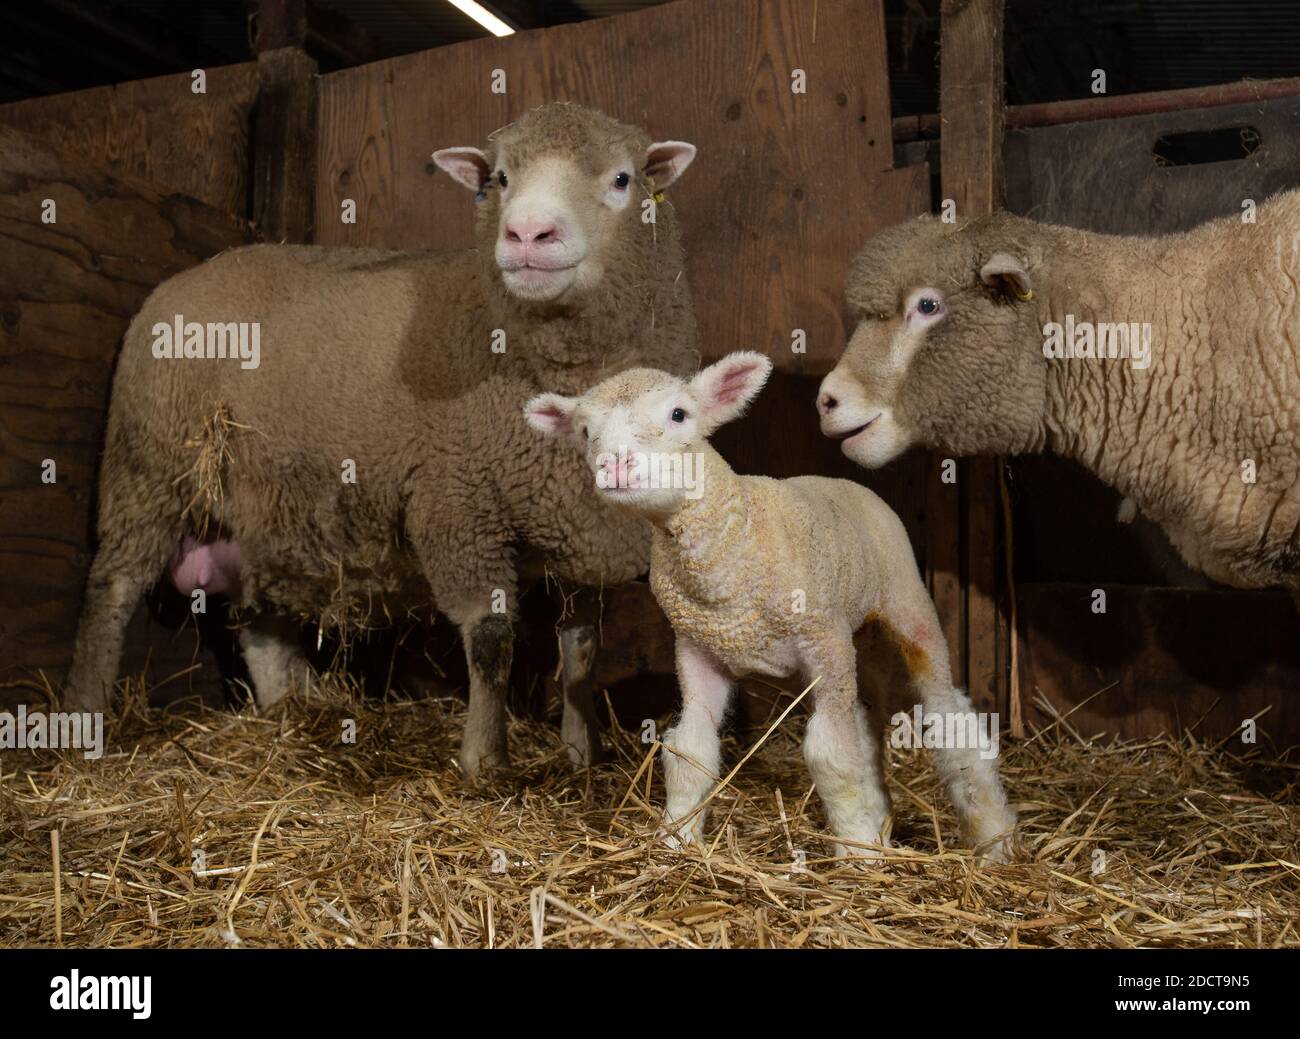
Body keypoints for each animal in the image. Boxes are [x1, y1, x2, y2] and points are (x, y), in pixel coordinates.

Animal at [65, 103, 702, 769]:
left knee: (261, 626)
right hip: (149, 465)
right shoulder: (456, 503)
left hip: (265, 509)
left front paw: (581, 753)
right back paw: (85, 716)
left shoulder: (581, 529)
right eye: (499, 178)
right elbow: (490, 640)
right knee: (111, 587)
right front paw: (484, 760)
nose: (528, 234)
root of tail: (188, 274)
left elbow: (580, 647)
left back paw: (288, 712)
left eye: (623, 179)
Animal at [525, 356, 1013, 863]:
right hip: (855, 643)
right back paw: (884, 820)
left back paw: (992, 838)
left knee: (948, 715)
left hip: (904, 605)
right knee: (862, 726)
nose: (616, 464)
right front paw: (676, 840)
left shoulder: (823, 642)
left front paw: (858, 852)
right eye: (585, 431)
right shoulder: (699, 650)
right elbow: (690, 749)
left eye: (679, 414)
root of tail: (847, 483)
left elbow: (830, 755)